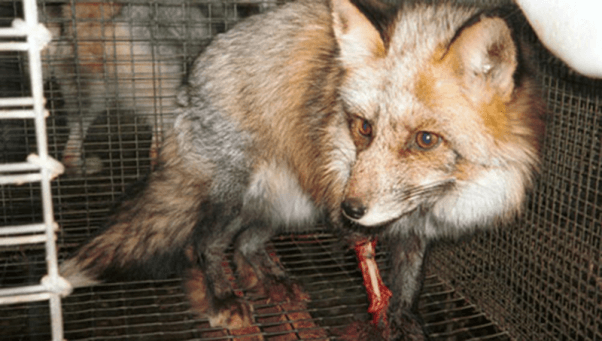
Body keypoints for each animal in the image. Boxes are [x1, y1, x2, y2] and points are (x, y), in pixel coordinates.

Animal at [59, 0, 544, 336]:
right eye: (363, 127)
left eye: (426, 140)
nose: (350, 210)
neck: (439, 197)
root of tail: (193, 73)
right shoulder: (354, 210)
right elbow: (374, 272)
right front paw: (380, 312)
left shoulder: (413, 229)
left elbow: (409, 281)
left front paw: (403, 320)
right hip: (237, 194)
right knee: (205, 244)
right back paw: (223, 298)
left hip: (292, 204)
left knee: (247, 243)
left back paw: (272, 278)